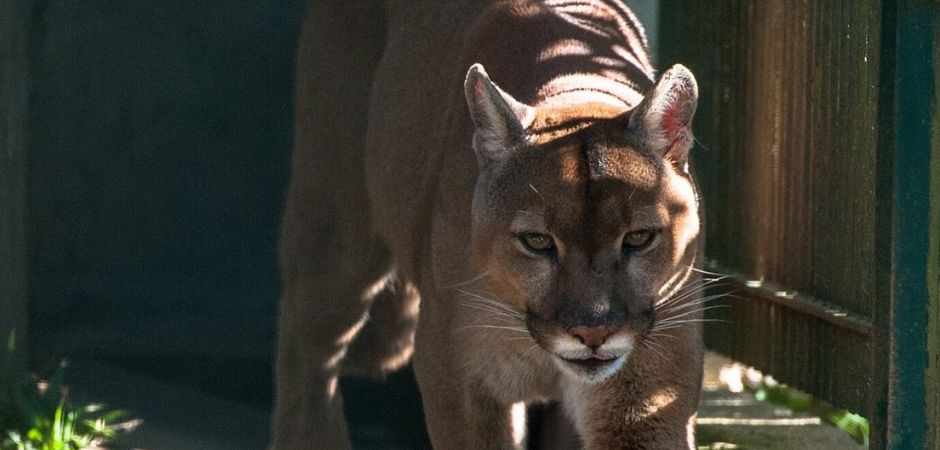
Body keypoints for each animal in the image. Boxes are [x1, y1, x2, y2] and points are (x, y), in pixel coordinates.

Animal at [271, 1, 704, 448]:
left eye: (638, 238)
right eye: (537, 241)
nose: (592, 331)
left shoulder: (647, 394)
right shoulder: (457, 381)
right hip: (336, 232)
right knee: (307, 346)